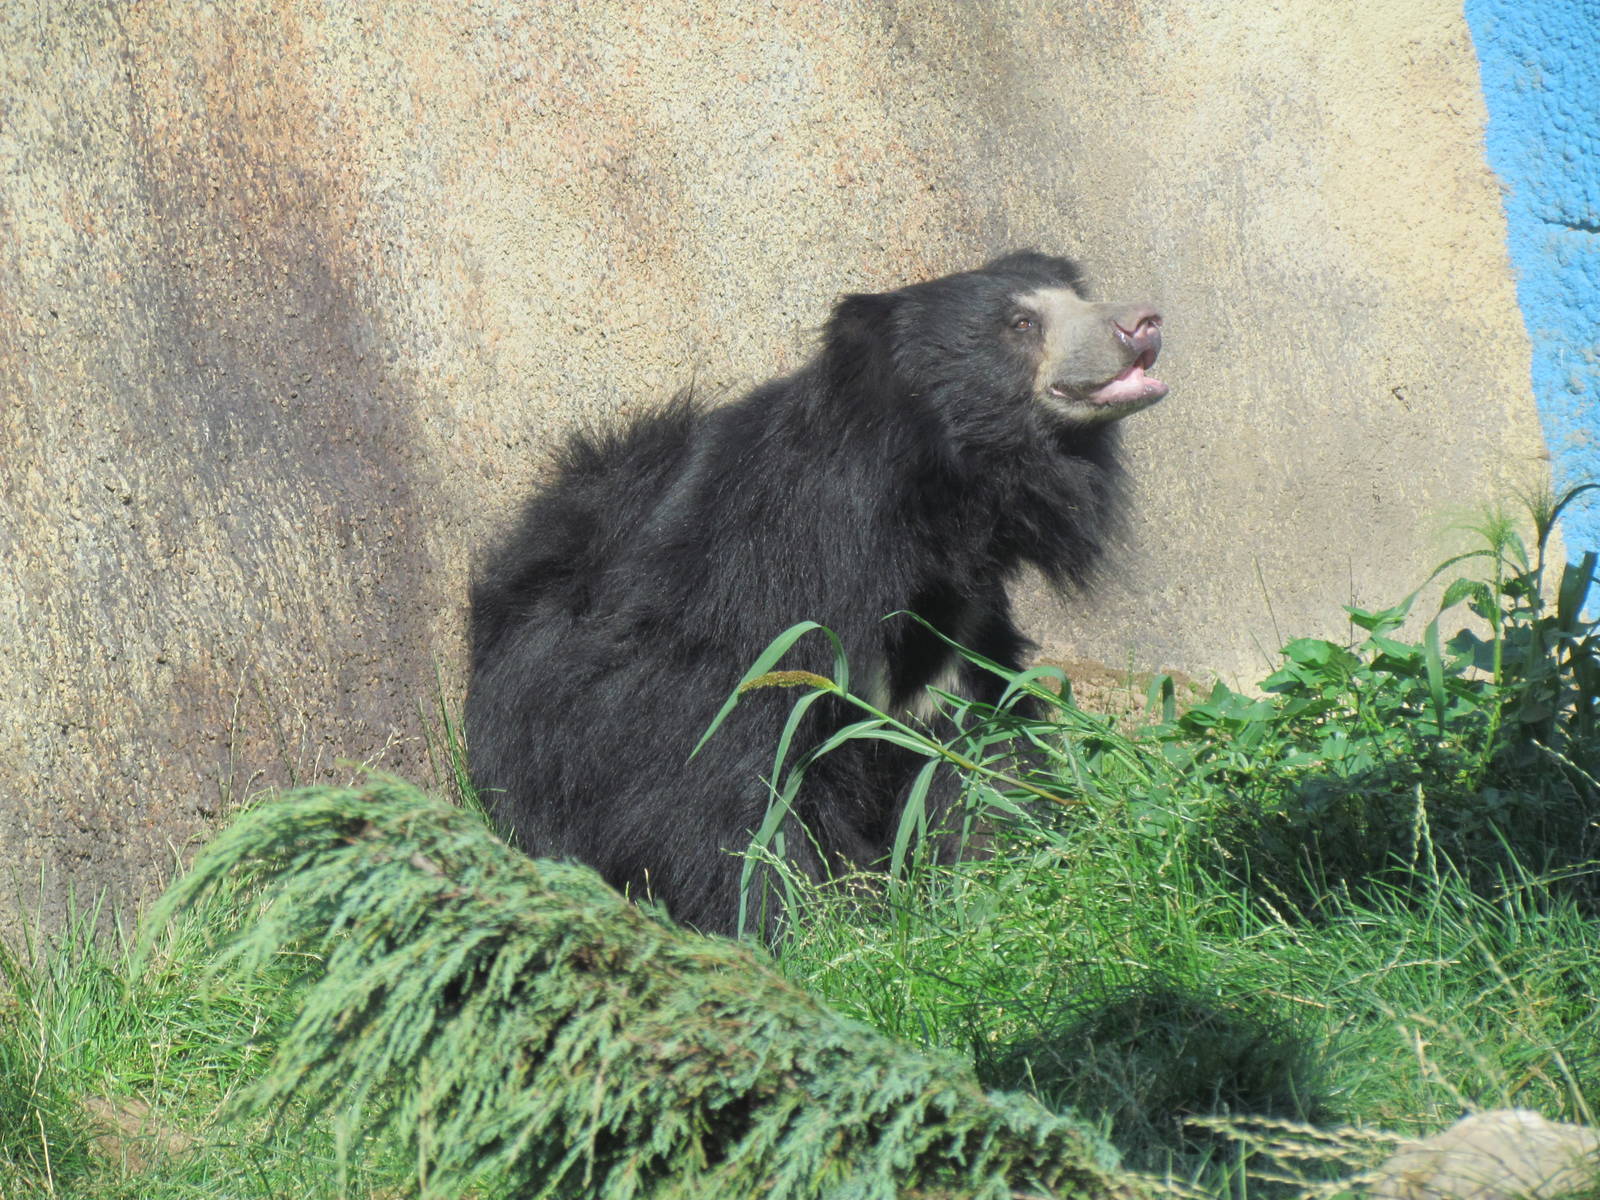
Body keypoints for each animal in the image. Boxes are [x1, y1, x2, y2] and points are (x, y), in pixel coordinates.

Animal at [465, 251, 1165, 937]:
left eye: (1079, 297)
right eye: (1020, 324)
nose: (1144, 322)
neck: (926, 512)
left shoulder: (958, 625)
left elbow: (979, 751)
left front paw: (997, 880)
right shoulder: (758, 603)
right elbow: (724, 782)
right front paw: (818, 929)